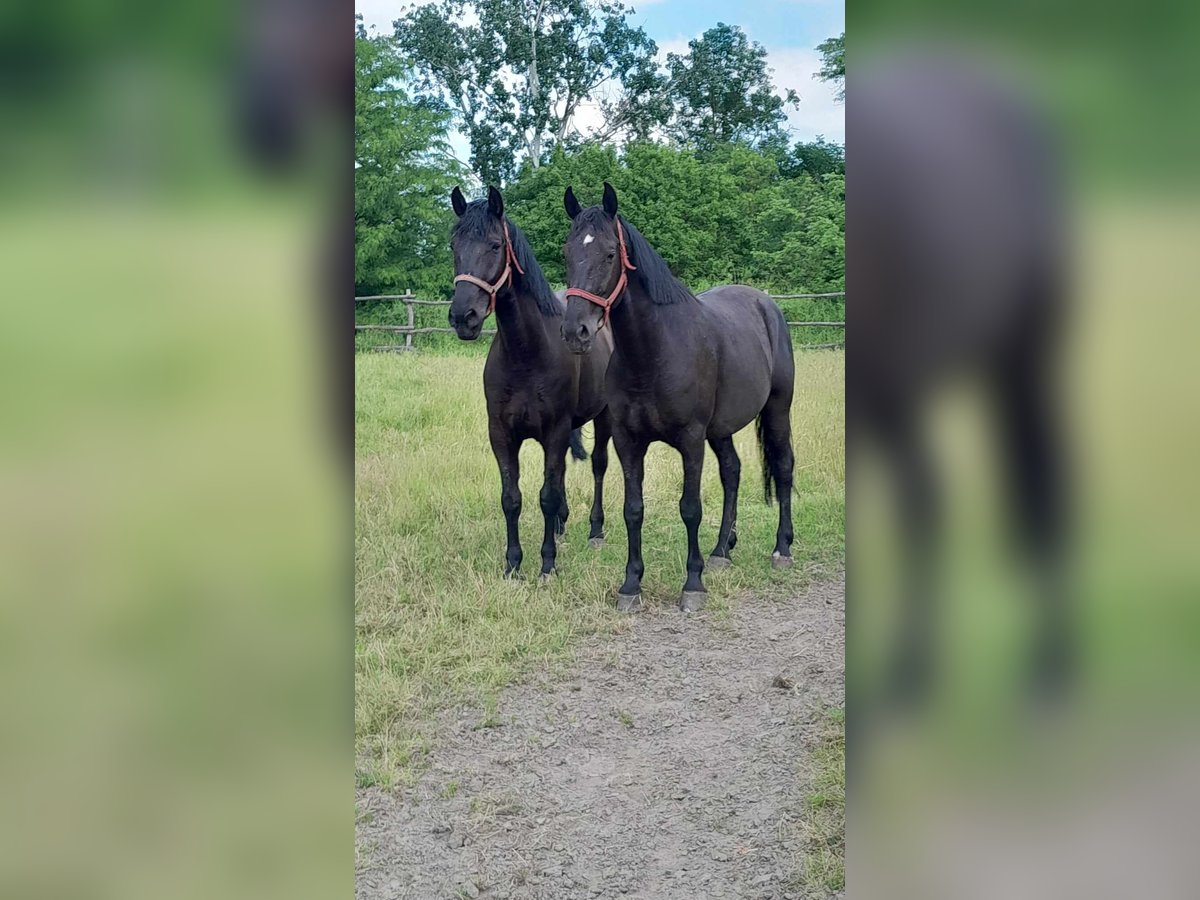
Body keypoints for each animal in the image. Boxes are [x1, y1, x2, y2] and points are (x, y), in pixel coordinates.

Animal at [451, 184, 619, 578]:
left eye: (495, 245)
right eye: (453, 246)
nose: (463, 317)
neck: (526, 354)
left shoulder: (554, 431)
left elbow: (547, 495)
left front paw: (547, 564)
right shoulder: (501, 434)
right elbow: (512, 498)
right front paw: (513, 564)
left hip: (603, 417)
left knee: (598, 466)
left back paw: (595, 530)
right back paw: (560, 525)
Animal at [561, 183, 796, 614]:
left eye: (609, 253)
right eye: (568, 251)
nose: (576, 331)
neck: (653, 351)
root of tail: (766, 304)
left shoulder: (690, 439)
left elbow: (690, 508)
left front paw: (693, 584)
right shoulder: (628, 441)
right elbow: (633, 510)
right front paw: (631, 585)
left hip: (777, 409)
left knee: (784, 467)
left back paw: (782, 549)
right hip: (721, 429)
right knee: (732, 471)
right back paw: (722, 550)